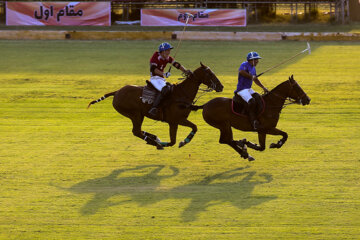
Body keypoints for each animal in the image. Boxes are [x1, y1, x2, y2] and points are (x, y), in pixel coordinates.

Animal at [87, 62, 222, 151]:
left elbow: (181, 136)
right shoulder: (176, 120)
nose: (221, 87)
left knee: (138, 131)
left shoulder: (175, 121)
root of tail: (116, 92)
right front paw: (180, 142)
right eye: (210, 73)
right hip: (135, 114)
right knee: (136, 131)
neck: (182, 94)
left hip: (138, 115)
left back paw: (154, 138)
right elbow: (179, 137)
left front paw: (180, 142)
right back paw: (154, 142)